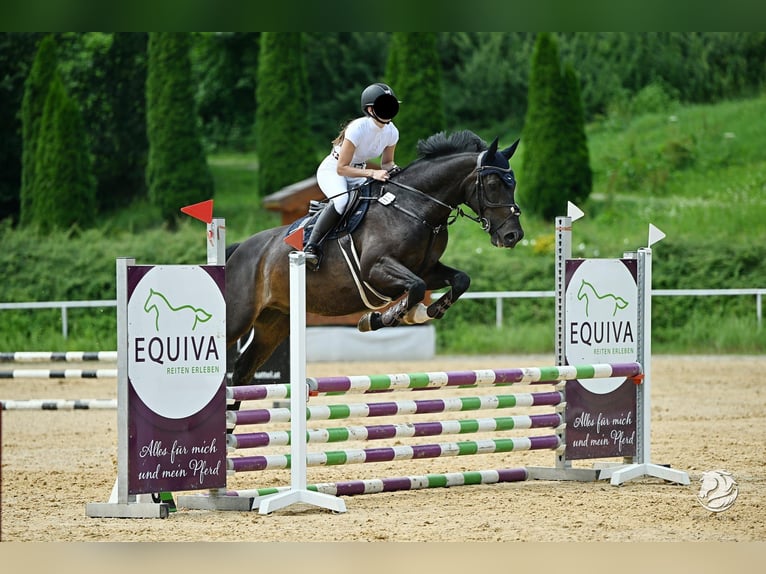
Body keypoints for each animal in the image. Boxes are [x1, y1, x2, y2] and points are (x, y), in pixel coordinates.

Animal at [225, 130, 524, 388]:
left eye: (514, 184)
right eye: (493, 184)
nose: (513, 236)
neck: (416, 208)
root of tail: (239, 250)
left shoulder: (427, 270)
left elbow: (460, 280)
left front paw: (425, 312)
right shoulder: (376, 268)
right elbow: (415, 289)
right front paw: (380, 318)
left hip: (274, 322)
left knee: (241, 372)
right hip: (239, 318)